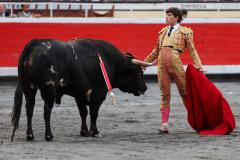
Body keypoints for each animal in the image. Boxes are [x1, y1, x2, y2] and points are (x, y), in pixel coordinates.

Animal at [10, 38, 152, 141]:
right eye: (139, 73)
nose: (145, 87)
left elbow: (83, 112)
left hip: (29, 87)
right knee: (46, 110)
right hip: (48, 89)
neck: (110, 60)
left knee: (29, 109)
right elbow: (94, 112)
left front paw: (84, 131)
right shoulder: (99, 93)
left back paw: (30, 135)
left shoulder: (79, 94)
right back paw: (49, 135)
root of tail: (34, 44)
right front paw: (95, 132)